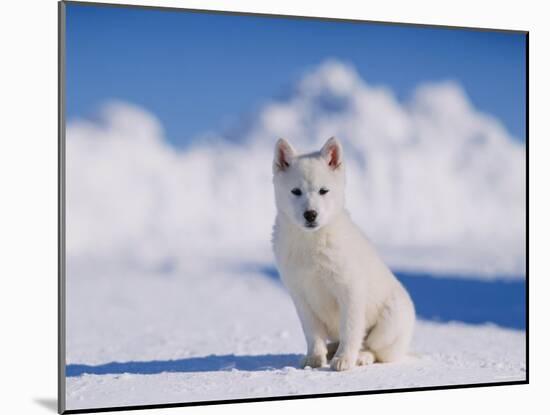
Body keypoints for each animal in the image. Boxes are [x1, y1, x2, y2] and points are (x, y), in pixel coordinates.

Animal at [274, 138, 416, 372]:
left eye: (323, 191)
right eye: (296, 191)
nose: (310, 214)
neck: (312, 241)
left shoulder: (350, 290)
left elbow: (350, 329)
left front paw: (344, 360)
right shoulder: (300, 296)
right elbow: (313, 333)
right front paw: (315, 358)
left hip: (389, 323)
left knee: (375, 348)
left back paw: (361, 356)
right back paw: (330, 350)